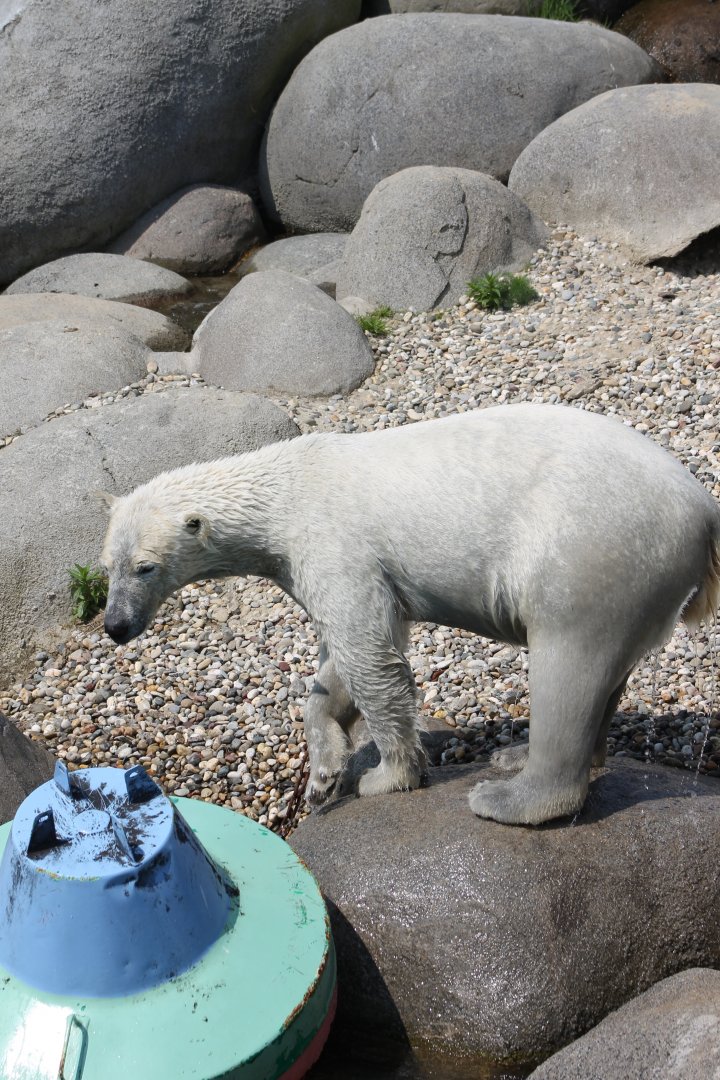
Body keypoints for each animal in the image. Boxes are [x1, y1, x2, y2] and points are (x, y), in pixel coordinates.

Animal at [99, 403, 720, 825]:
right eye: (107, 567)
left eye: (145, 567)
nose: (116, 627)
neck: (285, 488)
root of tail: (704, 512)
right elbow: (342, 661)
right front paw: (324, 773)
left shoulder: (334, 541)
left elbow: (370, 655)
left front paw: (387, 776)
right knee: (606, 677)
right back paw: (518, 756)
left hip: (594, 551)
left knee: (570, 663)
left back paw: (508, 795)